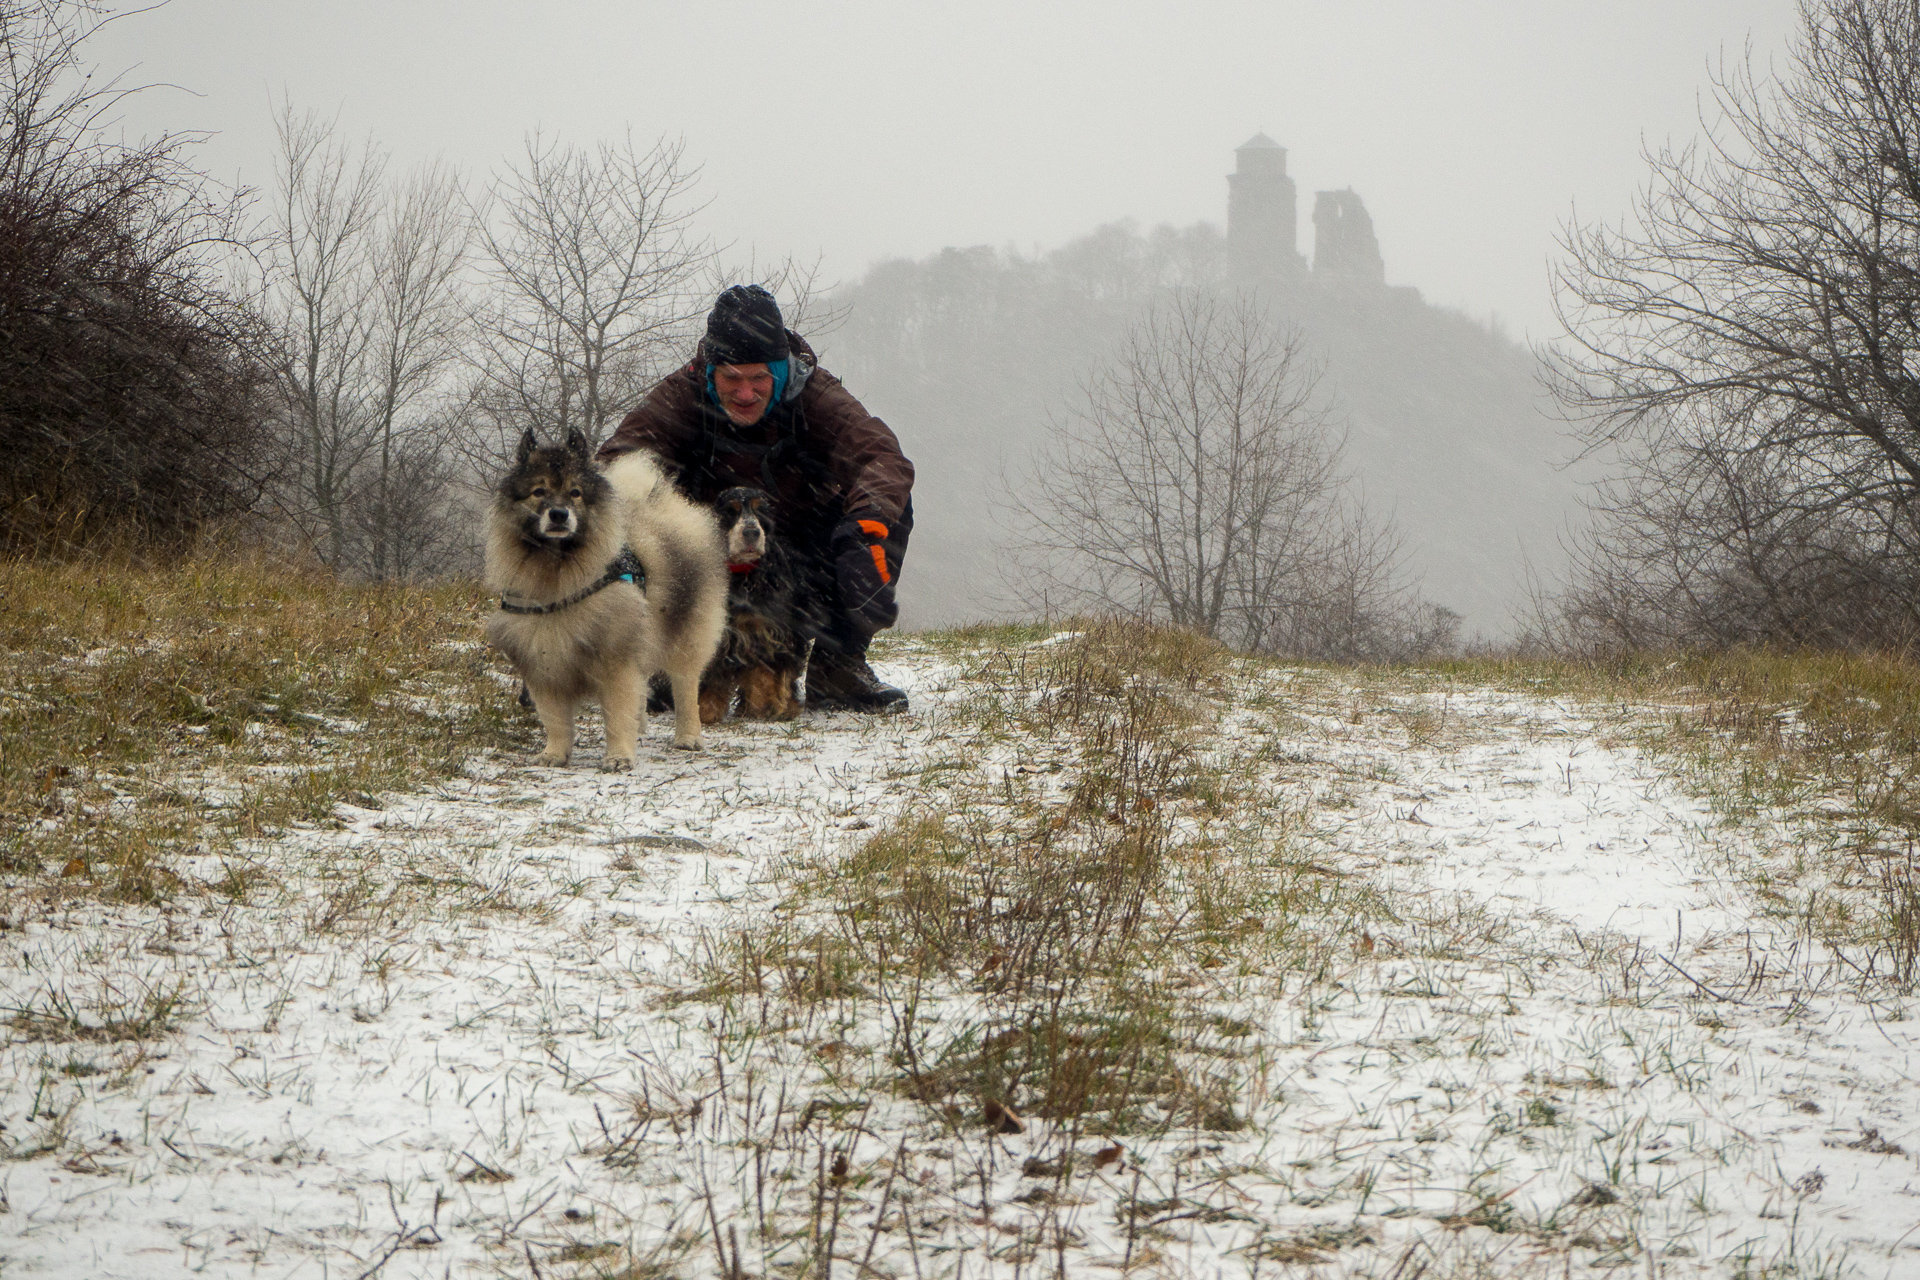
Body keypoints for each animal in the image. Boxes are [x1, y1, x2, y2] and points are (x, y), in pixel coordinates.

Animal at [698, 485, 810, 721]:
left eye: (761, 512)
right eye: (730, 511)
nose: (752, 532)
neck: (742, 574)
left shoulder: (767, 632)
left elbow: (764, 674)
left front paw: (762, 708)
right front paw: (706, 710)